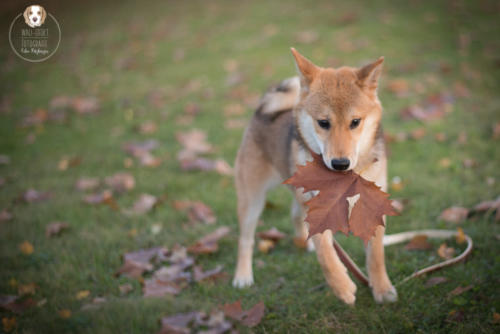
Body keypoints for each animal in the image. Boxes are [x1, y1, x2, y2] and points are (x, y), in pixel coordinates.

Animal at [231, 47, 398, 306]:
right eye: (323, 122)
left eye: (355, 122)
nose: (340, 163)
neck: (345, 180)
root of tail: (266, 110)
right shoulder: (319, 209)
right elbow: (327, 256)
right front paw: (341, 286)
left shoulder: (373, 210)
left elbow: (376, 255)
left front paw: (382, 288)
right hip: (253, 199)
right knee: (245, 240)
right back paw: (242, 276)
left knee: (295, 214)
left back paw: (303, 241)